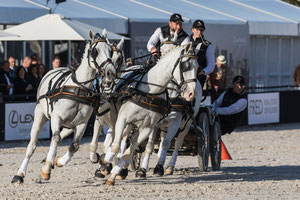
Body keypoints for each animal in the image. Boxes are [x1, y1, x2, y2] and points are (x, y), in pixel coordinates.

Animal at [10, 29, 116, 184]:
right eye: (95, 51)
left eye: (110, 50)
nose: (110, 72)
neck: (78, 87)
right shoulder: (57, 117)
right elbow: (55, 138)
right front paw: (47, 169)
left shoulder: (82, 123)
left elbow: (74, 146)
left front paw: (58, 161)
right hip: (40, 115)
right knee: (32, 146)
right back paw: (20, 174)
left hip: (70, 124)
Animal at [101, 42, 202, 186]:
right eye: (185, 65)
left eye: (198, 67)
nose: (191, 93)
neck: (151, 91)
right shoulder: (124, 118)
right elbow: (117, 146)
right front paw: (107, 162)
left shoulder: (150, 127)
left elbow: (132, 151)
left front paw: (115, 174)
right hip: (121, 118)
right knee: (120, 138)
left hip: (184, 125)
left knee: (176, 142)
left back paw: (167, 166)